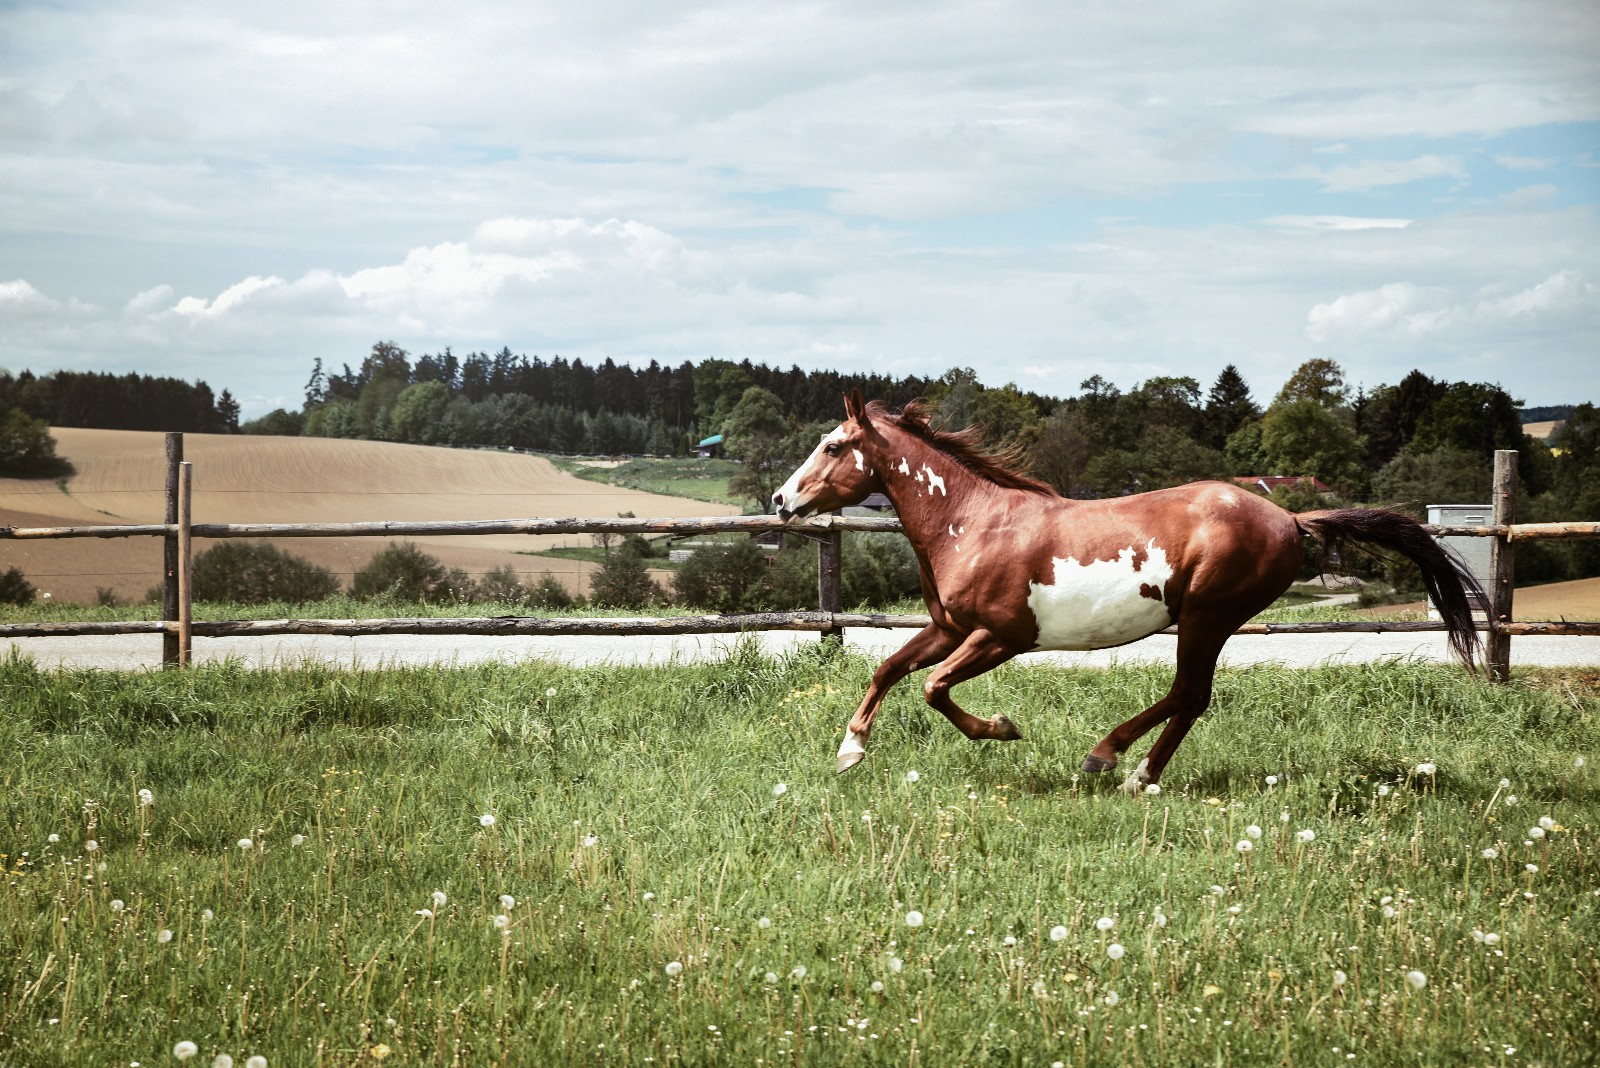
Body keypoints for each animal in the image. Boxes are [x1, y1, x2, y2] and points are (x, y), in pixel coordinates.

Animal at [772, 391, 1484, 793]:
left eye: (832, 446)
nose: (780, 500)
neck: (972, 522)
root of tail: (1291, 518)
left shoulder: (1002, 636)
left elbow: (933, 687)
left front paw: (1002, 729)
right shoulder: (949, 626)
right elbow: (889, 669)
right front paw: (850, 751)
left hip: (1207, 615)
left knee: (1190, 694)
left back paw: (1114, 763)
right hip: (1206, 621)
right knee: (1190, 696)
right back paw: (1129, 769)